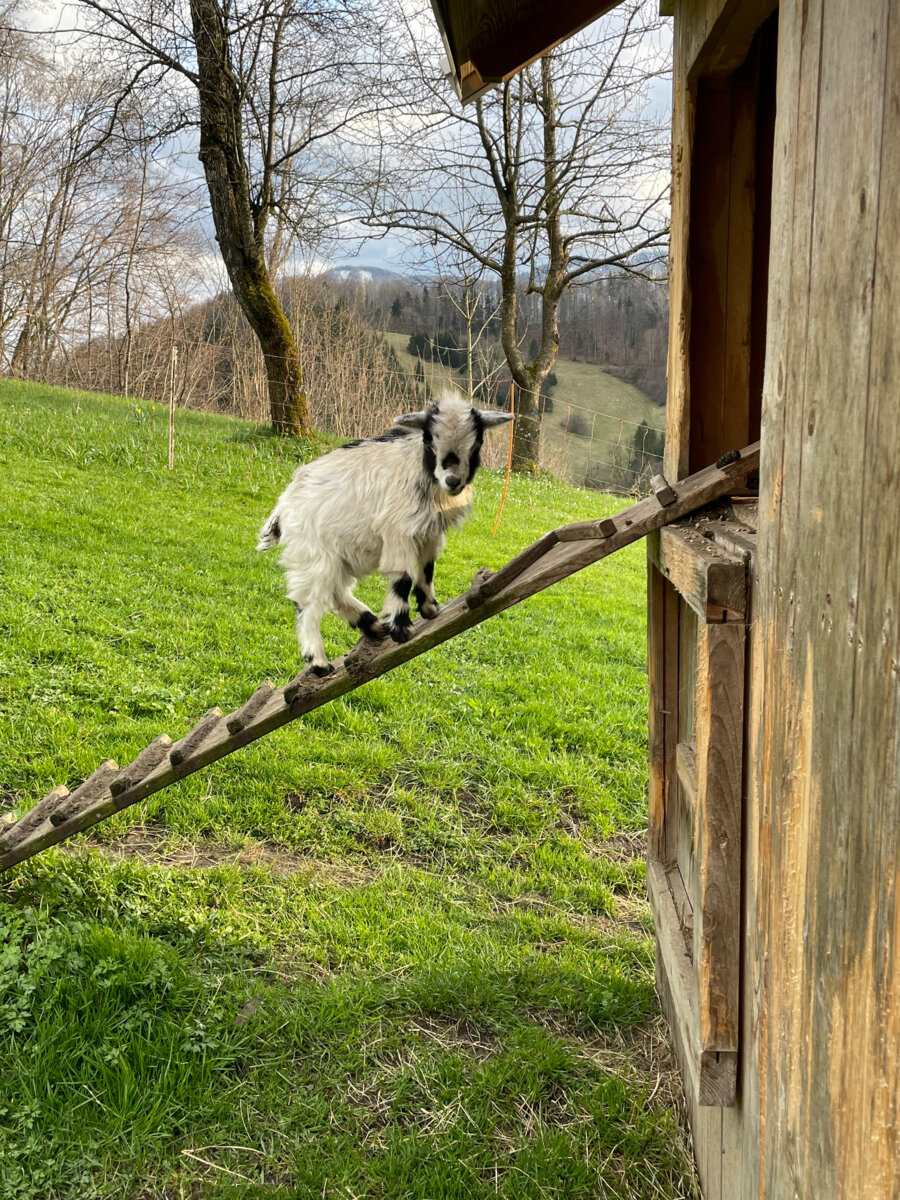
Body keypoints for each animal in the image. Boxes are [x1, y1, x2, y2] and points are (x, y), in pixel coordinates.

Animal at [256, 393, 518, 676]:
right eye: (429, 440)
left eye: (477, 442)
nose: (453, 481)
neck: (421, 470)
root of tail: (283, 507)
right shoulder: (397, 530)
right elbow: (403, 577)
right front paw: (401, 628)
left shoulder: (429, 532)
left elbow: (427, 568)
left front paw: (429, 608)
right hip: (313, 554)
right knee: (308, 604)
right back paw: (319, 662)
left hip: (338, 554)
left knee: (336, 592)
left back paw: (371, 624)